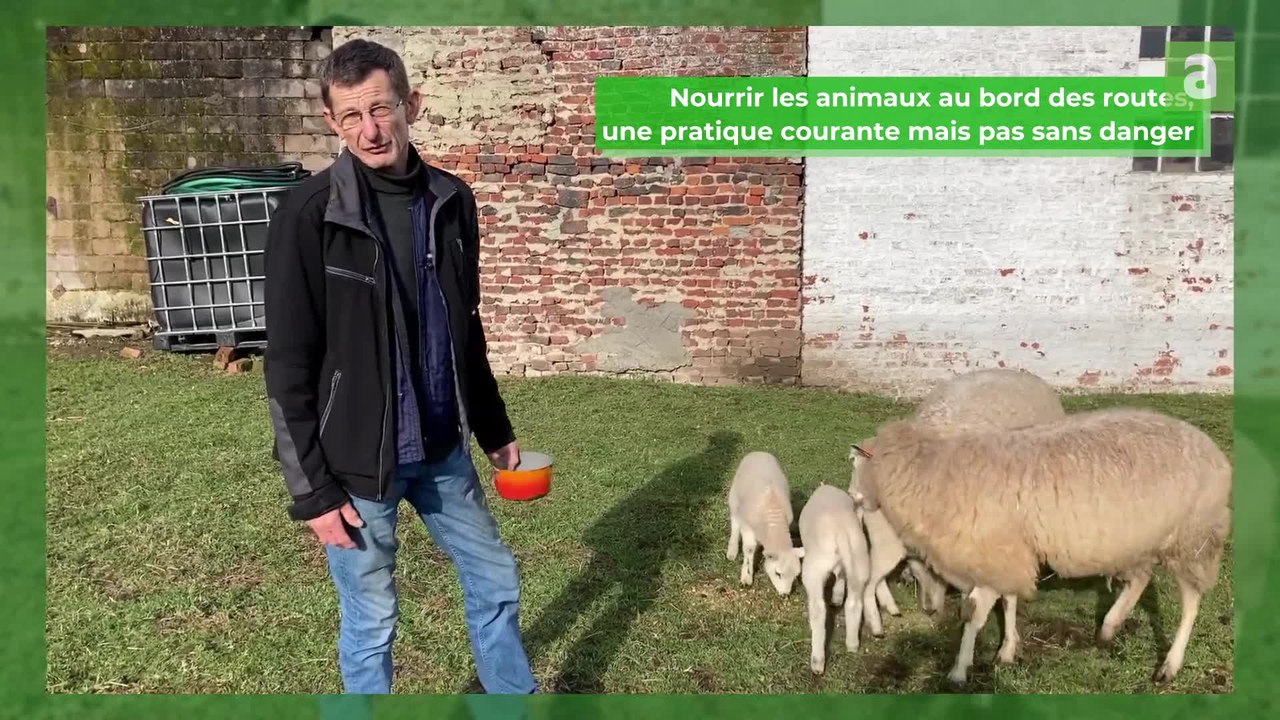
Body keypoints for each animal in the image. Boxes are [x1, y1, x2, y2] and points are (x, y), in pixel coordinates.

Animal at [727, 451, 804, 594]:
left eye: (796, 575)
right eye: (778, 573)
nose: (785, 594)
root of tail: (758, 452)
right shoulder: (747, 527)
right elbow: (749, 549)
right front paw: (746, 576)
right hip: (733, 497)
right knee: (734, 523)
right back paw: (732, 550)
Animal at [797, 483, 872, 674]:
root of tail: (841, 531)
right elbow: (840, 576)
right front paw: (837, 596)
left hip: (814, 569)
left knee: (818, 610)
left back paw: (817, 662)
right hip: (859, 563)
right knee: (854, 603)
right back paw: (852, 644)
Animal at [853, 406, 1232, 686]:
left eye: (855, 465)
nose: (857, 502)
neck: (934, 473)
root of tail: (1212, 450)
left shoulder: (995, 553)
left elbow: (974, 613)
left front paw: (959, 671)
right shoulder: (1006, 552)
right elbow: (1007, 601)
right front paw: (1006, 650)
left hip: (1194, 539)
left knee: (1191, 602)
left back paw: (1169, 664)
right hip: (1134, 540)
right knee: (1140, 579)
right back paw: (1109, 626)